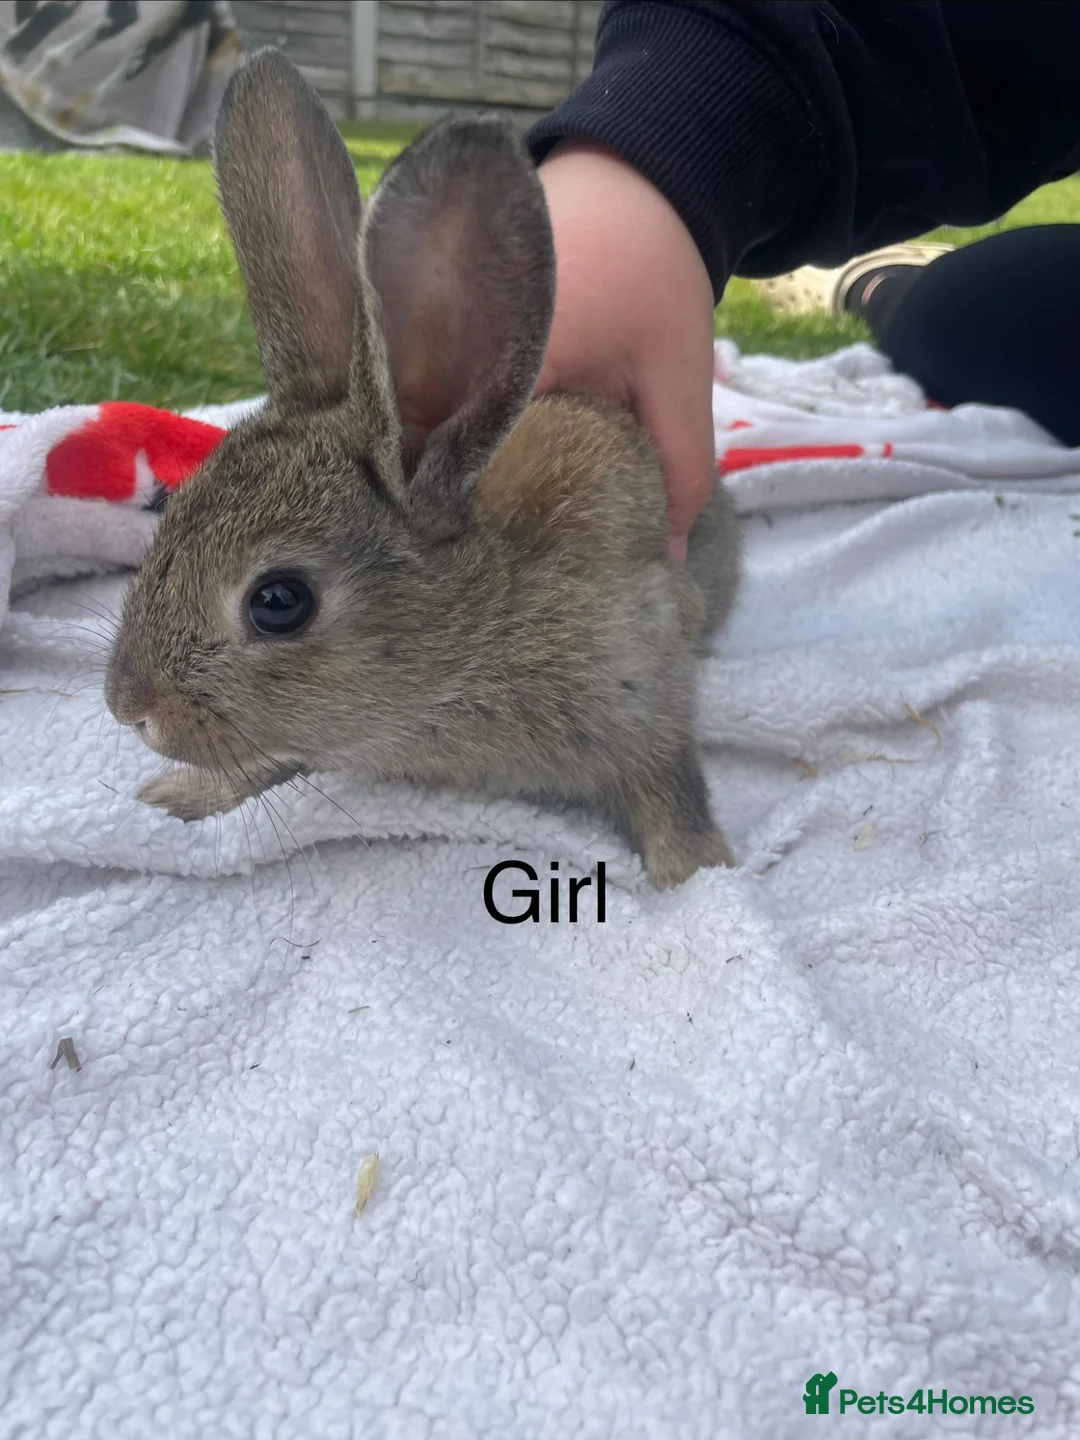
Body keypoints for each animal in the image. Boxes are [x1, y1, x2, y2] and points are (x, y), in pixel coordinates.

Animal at [105, 48, 742, 890]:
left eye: (279, 602)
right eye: (167, 507)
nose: (128, 707)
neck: (474, 633)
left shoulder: (642, 689)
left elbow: (670, 786)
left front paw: (701, 874)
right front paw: (181, 795)